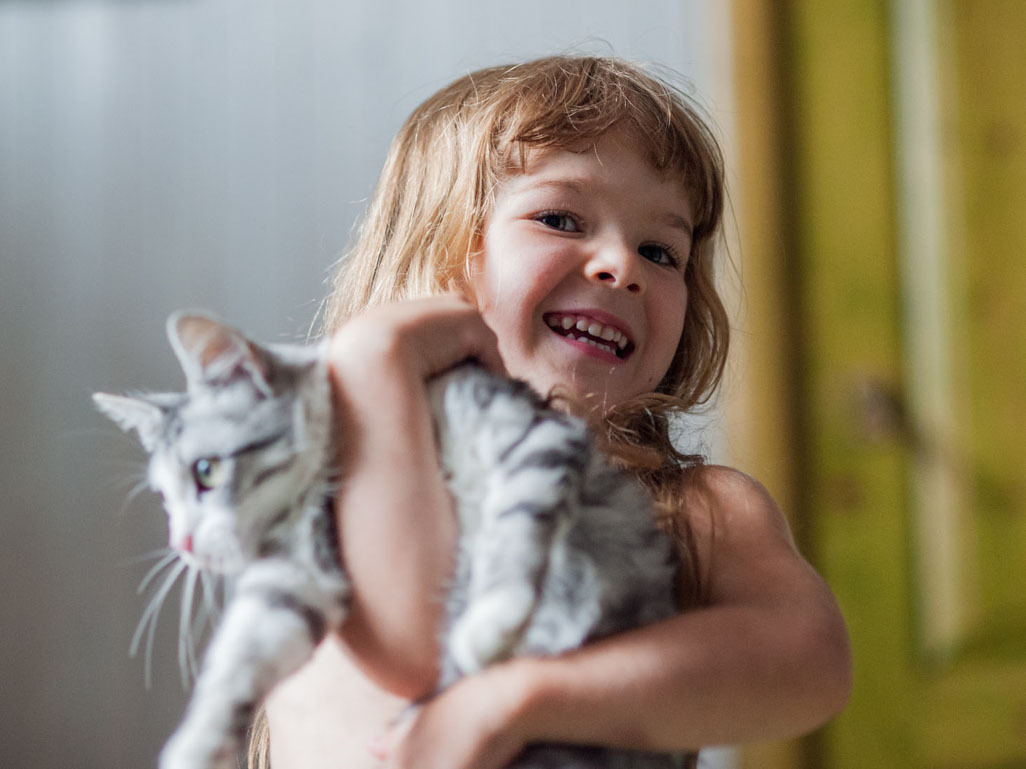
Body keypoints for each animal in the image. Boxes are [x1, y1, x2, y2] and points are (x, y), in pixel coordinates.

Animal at [92, 311, 677, 769]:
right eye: (164, 498)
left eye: (206, 472)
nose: (183, 545)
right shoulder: (299, 574)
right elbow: (239, 660)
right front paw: (195, 747)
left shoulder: (538, 437)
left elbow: (516, 525)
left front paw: (491, 623)